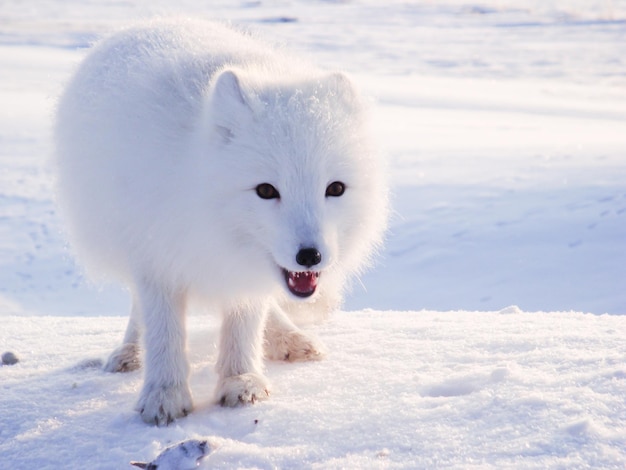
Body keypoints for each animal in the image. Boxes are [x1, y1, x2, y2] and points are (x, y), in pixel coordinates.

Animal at [54, 20, 386, 426]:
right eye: (266, 190)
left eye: (335, 188)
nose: (310, 257)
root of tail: (148, 23)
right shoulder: (156, 256)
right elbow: (162, 329)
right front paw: (163, 395)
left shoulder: (245, 271)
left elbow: (245, 320)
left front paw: (240, 380)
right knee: (138, 308)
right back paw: (130, 351)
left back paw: (289, 339)